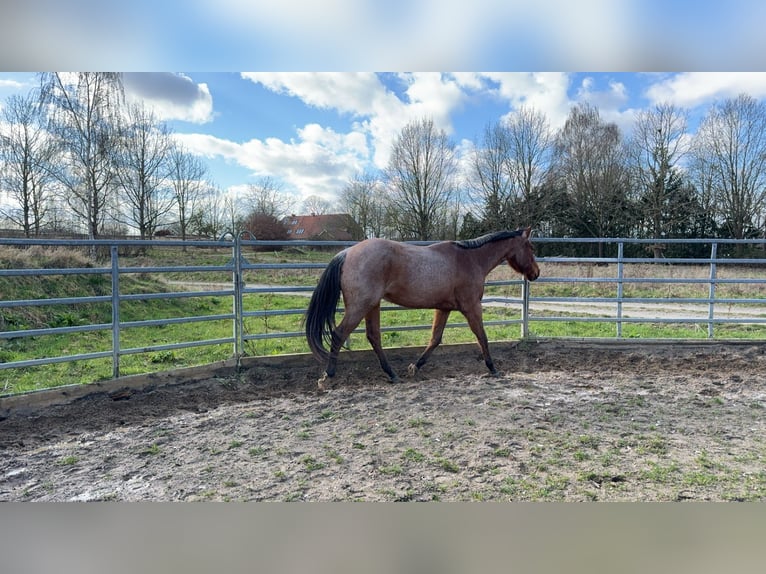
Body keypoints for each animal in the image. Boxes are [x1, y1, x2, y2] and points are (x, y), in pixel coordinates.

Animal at [304, 227, 540, 388]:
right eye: (530, 247)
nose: (536, 273)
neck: (470, 259)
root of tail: (347, 253)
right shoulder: (472, 307)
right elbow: (481, 336)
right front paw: (493, 368)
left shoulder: (444, 308)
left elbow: (435, 339)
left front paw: (414, 367)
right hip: (360, 306)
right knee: (339, 334)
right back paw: (328, 376)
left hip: (372, 305)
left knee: (373, 336)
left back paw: (392, 374)